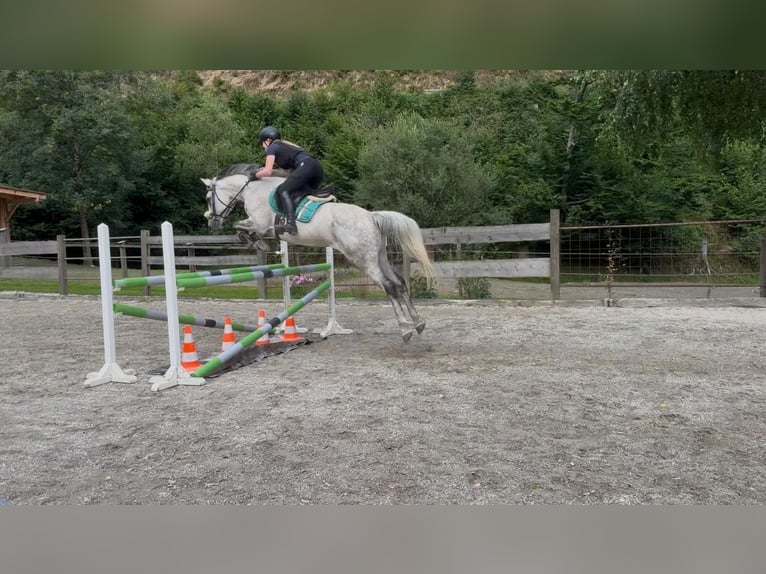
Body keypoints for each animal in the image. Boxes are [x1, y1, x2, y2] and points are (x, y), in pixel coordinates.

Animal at [201, 163, 436, 342]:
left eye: (208, 198)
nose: (212, 223)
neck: (254, 190)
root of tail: (371, 216)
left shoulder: (261, 224)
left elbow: (240, 227)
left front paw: (258, 244)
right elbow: (241, 228)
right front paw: (258, 244)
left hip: (362, 260)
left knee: (389, 286)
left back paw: (406, 329)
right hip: (378, 256)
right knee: (399, 283)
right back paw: (418, 322)